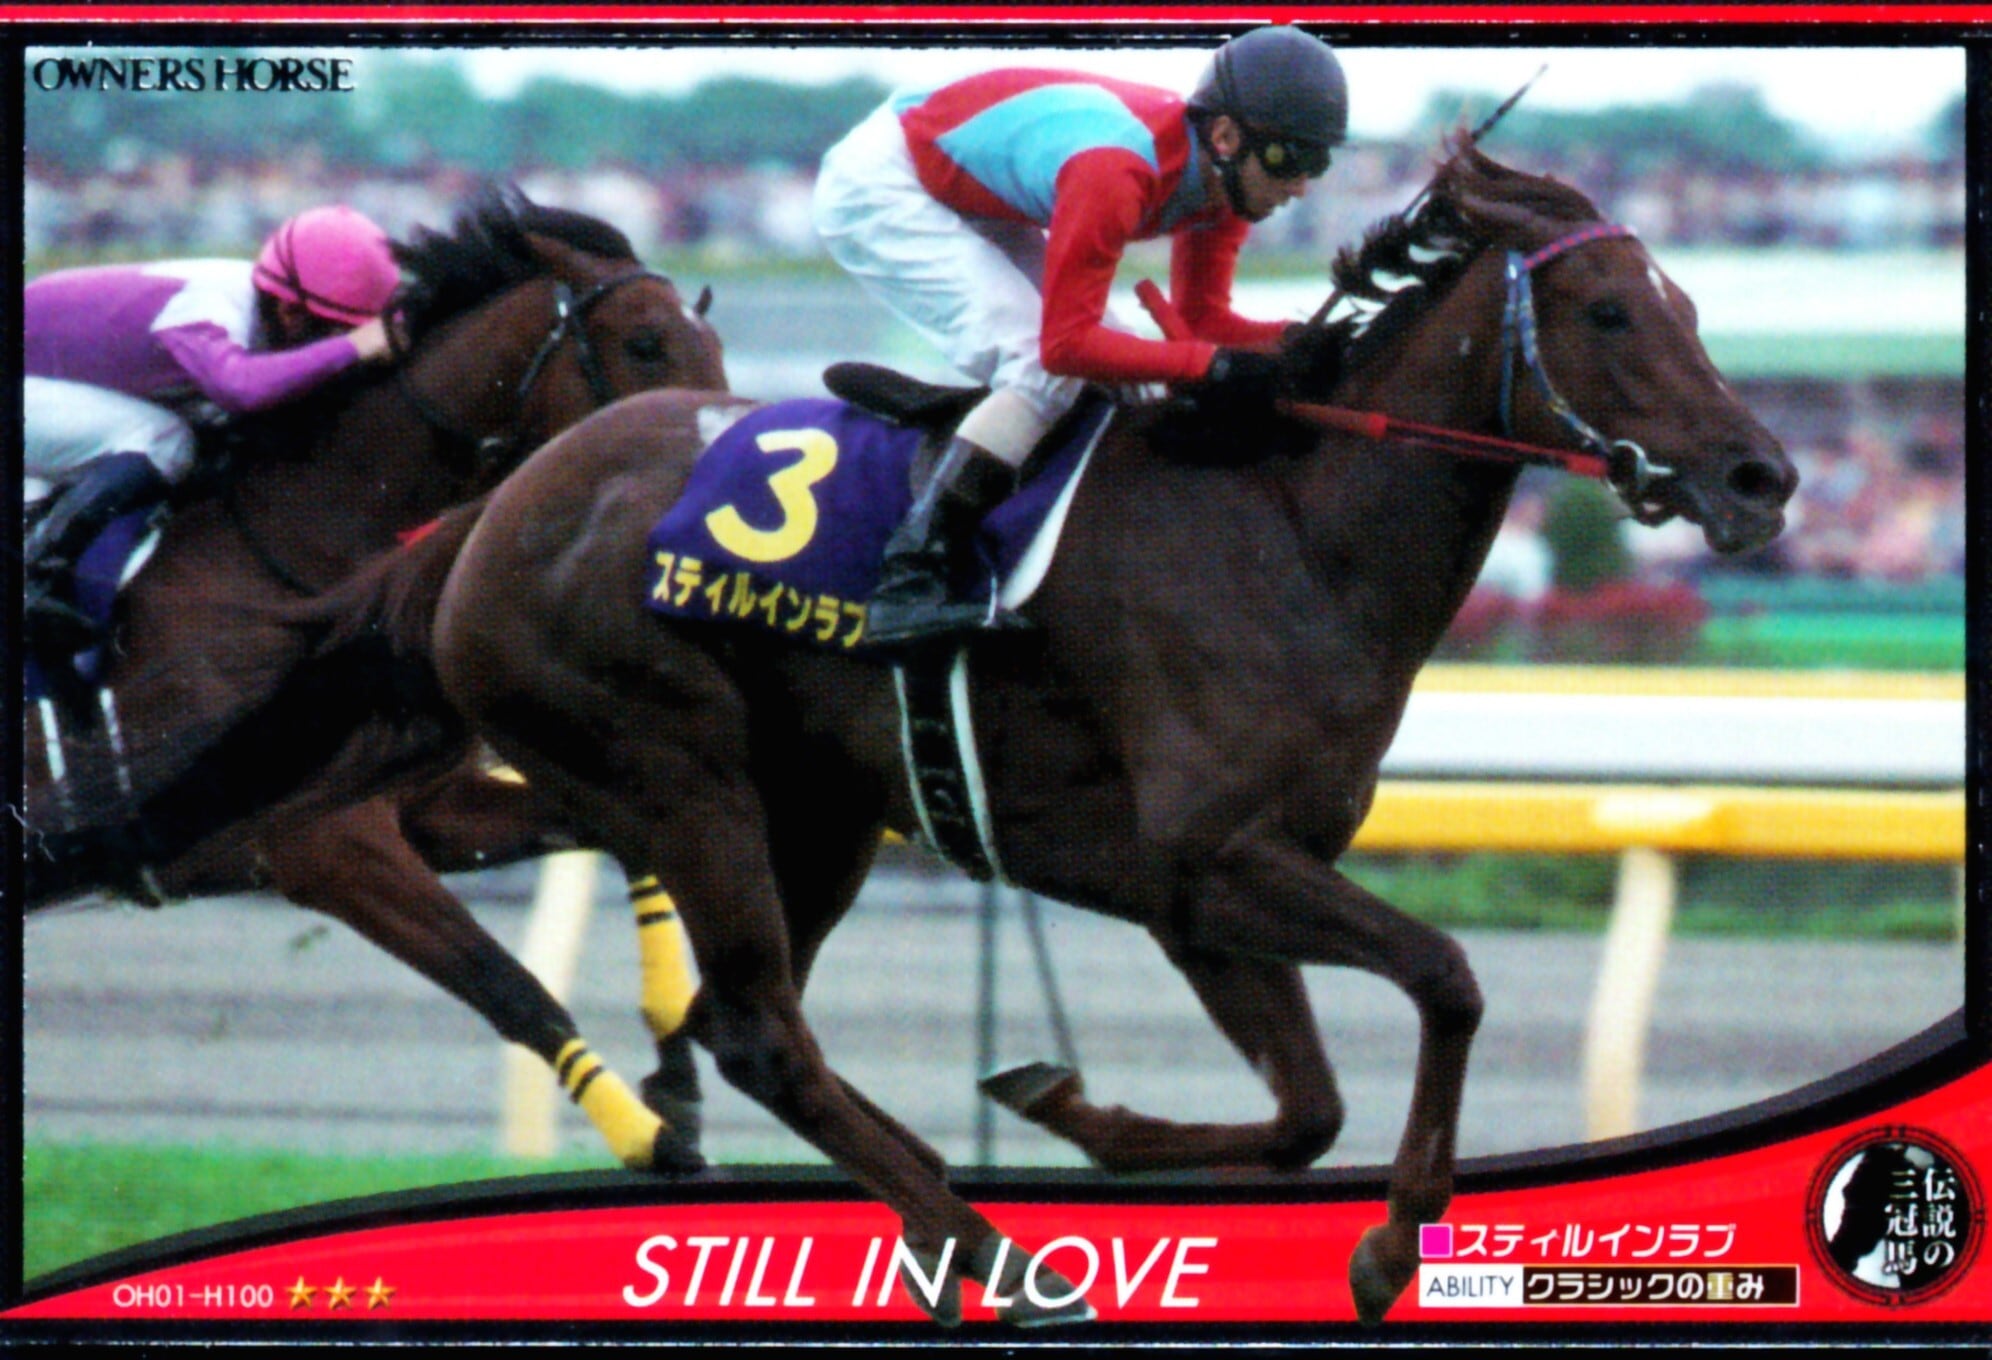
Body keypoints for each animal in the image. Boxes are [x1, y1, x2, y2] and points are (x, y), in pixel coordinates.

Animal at [22, 186, 726, 1172]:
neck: (301, 563)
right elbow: (512, 989)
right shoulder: (315, 842)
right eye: (647, 344)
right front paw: (660, 1148)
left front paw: (677, 1070)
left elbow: (620, 837)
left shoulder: (423, 806)